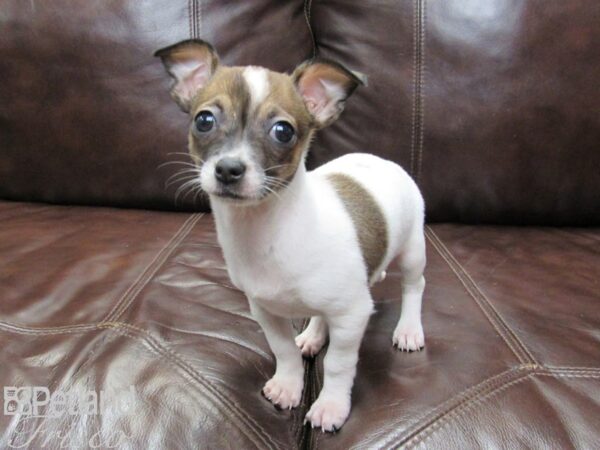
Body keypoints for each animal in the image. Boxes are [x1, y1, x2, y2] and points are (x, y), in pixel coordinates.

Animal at [155, 40, 426, 430]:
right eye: (203, 120)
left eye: (283, 131)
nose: (228, 169)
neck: (266, 230)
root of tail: (383, 161)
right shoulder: (265, 310)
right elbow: (282, 350)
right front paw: (288, 384)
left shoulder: (352, 314)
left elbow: (338, 364)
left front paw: (331, 405)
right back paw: (313, 334)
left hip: (413, 250)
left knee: (413, 286)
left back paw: (409, 328)